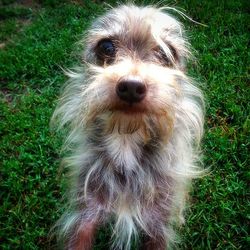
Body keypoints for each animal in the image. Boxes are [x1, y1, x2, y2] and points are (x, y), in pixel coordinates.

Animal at [51, 3, 205, 250]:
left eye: (166, 53)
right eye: (106, 47)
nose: (132, 87)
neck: (126, 140)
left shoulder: (158, 224)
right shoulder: (84, 216)